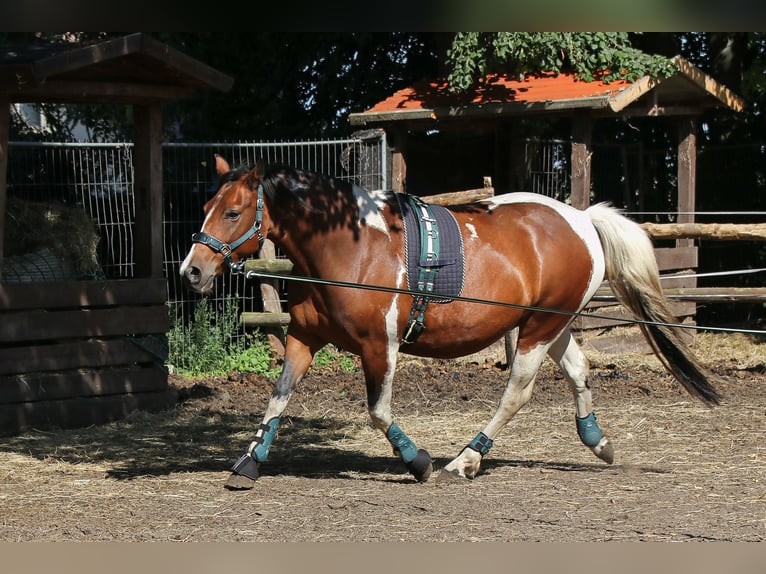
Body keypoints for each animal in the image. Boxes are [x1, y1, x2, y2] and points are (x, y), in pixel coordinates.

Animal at [180, 156, 721, 490]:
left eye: (233, 211)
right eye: (206, 207)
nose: (192, 271)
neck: (348, 249)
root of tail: (583, 220)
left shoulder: (380, 346)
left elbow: (378, 413)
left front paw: (419, 462)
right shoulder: (304, 338)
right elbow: (278, 397)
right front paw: (248, 463)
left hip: (536, 332)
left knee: (517, 392)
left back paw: (466, 460)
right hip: (552, 324)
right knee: (578, 371)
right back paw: (598, 443)